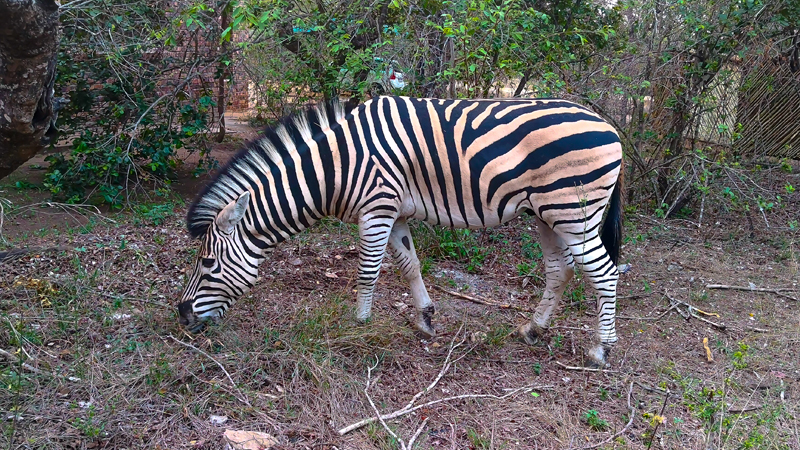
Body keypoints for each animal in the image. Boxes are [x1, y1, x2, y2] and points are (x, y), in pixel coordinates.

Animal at [178, 96, 623, 367]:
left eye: (208, 263)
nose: (181, 316)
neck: (335, 166)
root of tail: (609, 126)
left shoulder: (376, 206)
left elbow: (368, 271)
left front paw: (359, 324)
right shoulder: (395, 212)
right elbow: (409, 265)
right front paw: (425, 319)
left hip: (573, 210)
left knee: (602, 272)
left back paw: (600, 349)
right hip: (547, 213)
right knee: (560, 270)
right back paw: (532, 330)